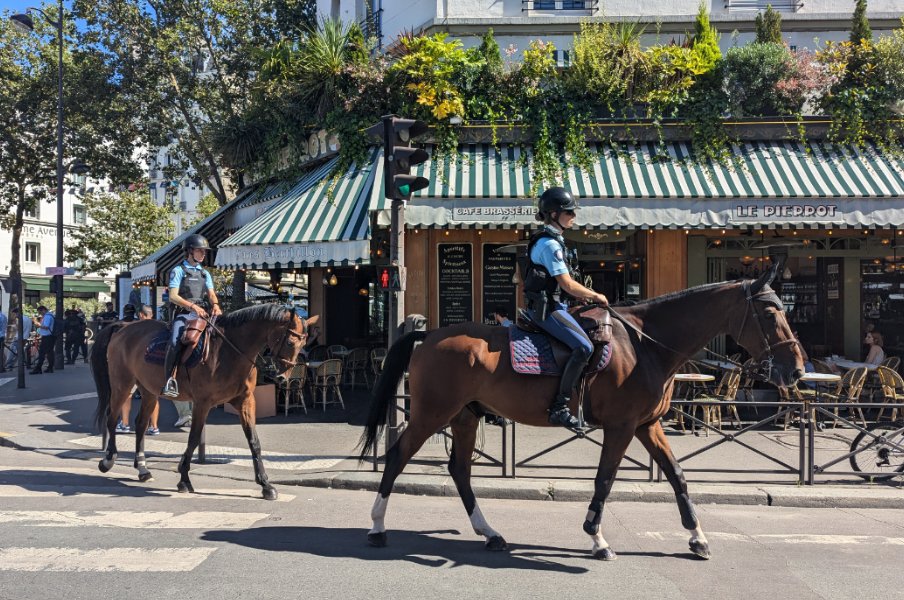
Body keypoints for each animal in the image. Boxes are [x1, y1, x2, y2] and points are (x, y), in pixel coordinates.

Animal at [89, 304, 314, 496]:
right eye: (290, 341)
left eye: (304, 343)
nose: (282, 378)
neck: (229, 351)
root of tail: (124, 327)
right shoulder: (202, 403)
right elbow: (194, 438)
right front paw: (184, 479)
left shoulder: (246, 401)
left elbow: (254, 442)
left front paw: (266, 484)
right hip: (122, 384)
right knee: (112, 417)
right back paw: (108, 460)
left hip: (148, 391)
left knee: (141, 424)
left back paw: (143, 469)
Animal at [360, 264, 804, 560]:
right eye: (770, 313)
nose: (797, 369)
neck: (646, 345)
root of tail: (429, 334)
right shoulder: (622, 426)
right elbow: (605, 479)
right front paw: (596, 537)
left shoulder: (648, 425)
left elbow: (677, 474)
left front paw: (697, 537)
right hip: (432, 413)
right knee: (397, 457)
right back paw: (377, 527)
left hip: (466, 416)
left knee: (460, 471)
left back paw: (489, 533)